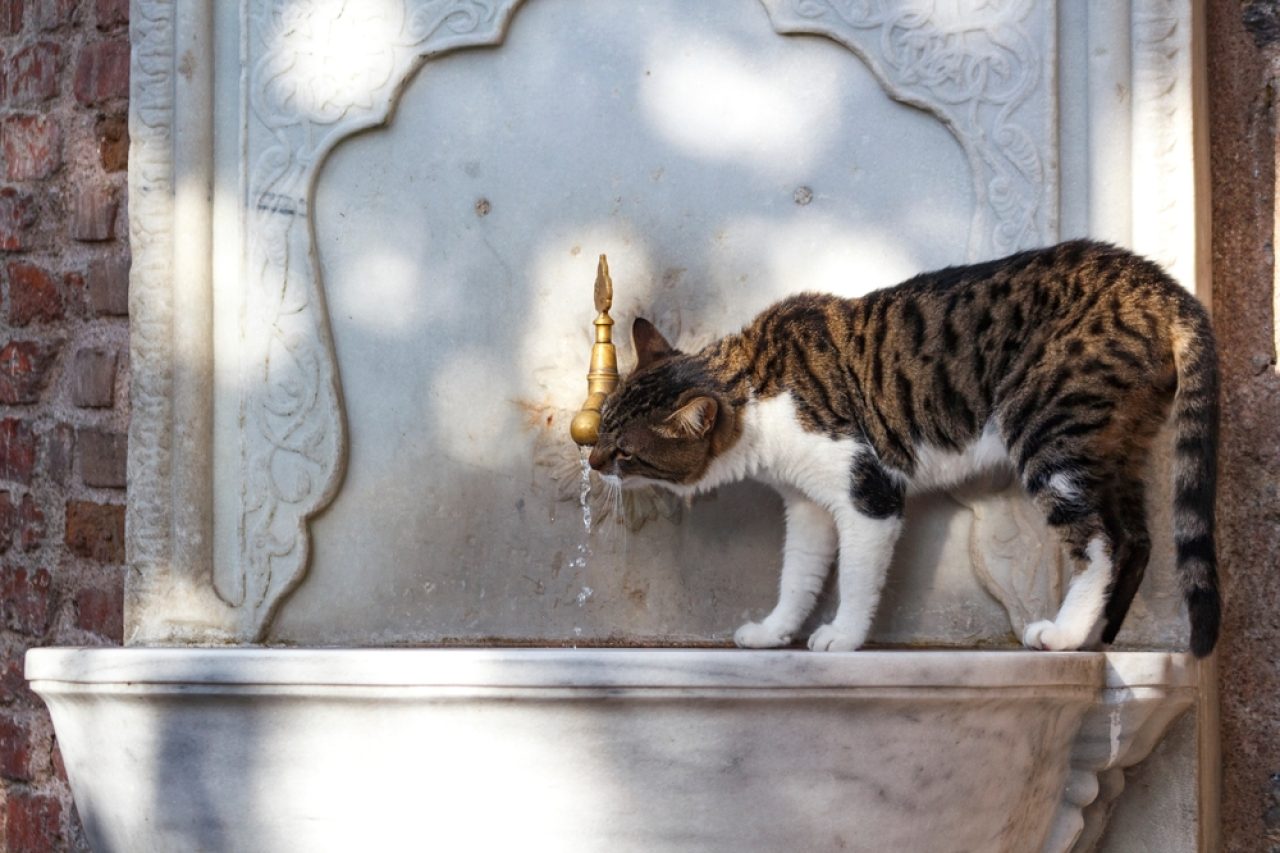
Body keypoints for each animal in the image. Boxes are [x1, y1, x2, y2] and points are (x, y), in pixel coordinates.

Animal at [588, 242, 1218, 653]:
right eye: (602, 430)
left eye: (624, 453)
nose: (590, 460)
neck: (754, 395)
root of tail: (1153, 281)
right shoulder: (808, 503)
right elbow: (798, 574)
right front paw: (774, 632)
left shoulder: (868, 491)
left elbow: (856, 577)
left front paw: (842, 637)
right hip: (1115, 445)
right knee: (1137, 538)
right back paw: (1100, 638)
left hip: (1051, 437)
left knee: (1100, 543)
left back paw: (1062, 634)